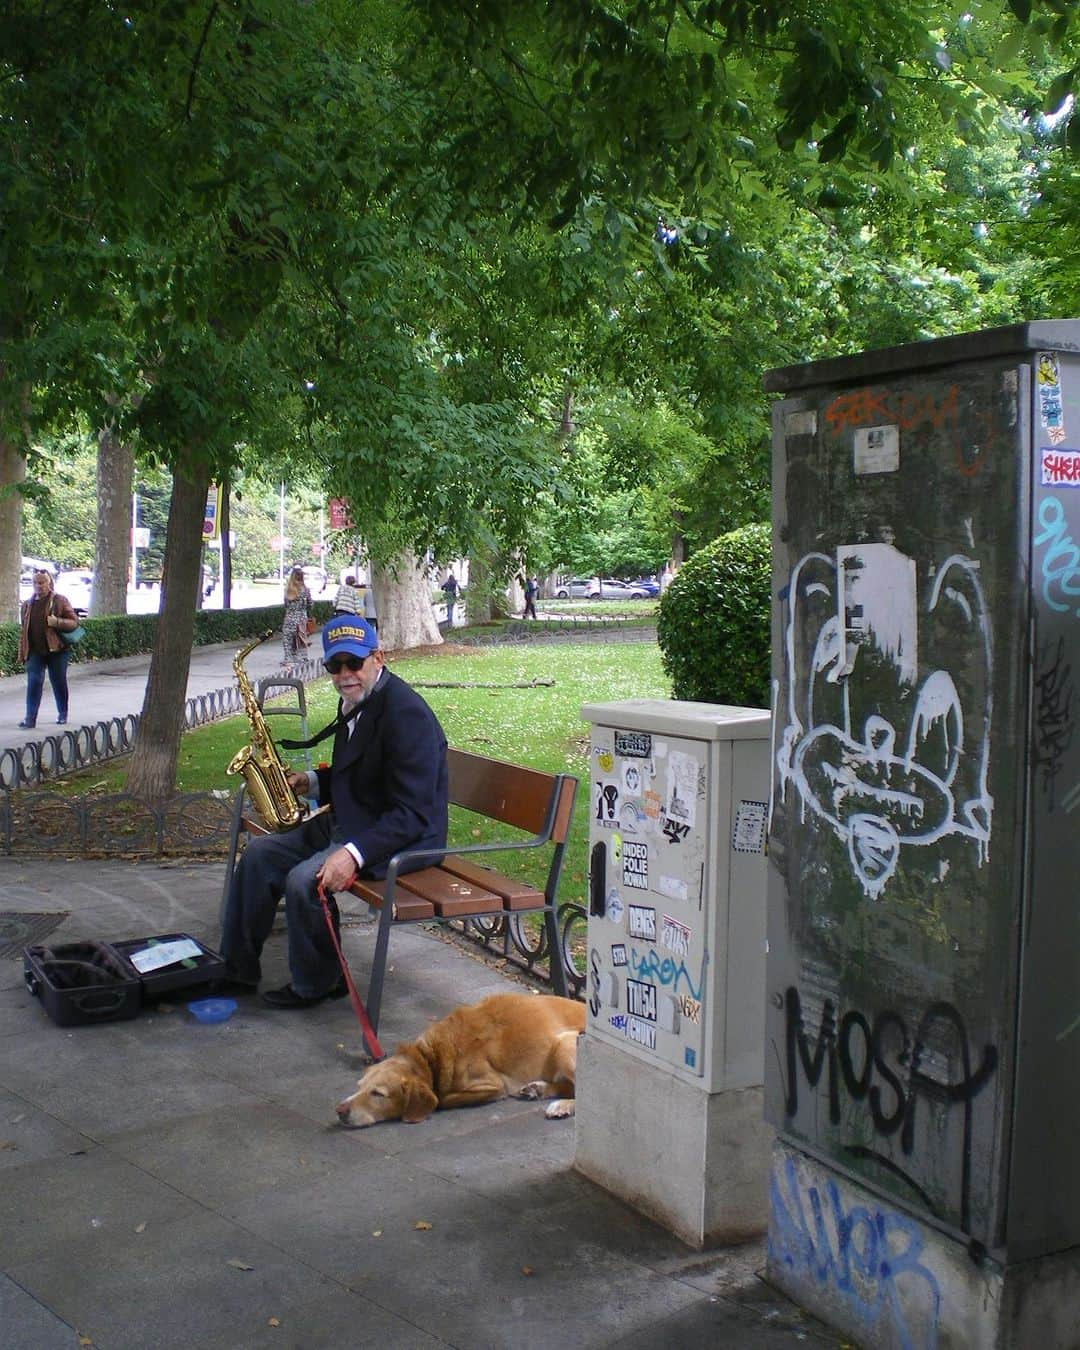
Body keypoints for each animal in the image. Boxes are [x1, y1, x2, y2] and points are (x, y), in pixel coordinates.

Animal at [337, 993, 585, 1128]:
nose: (340, 1110)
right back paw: (539, 1089)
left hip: (563, 1044)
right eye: (359, 1087)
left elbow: (443, 1099)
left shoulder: (493, 1086)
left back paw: (561, 1105)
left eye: (378, 1094)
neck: (431, 1057)